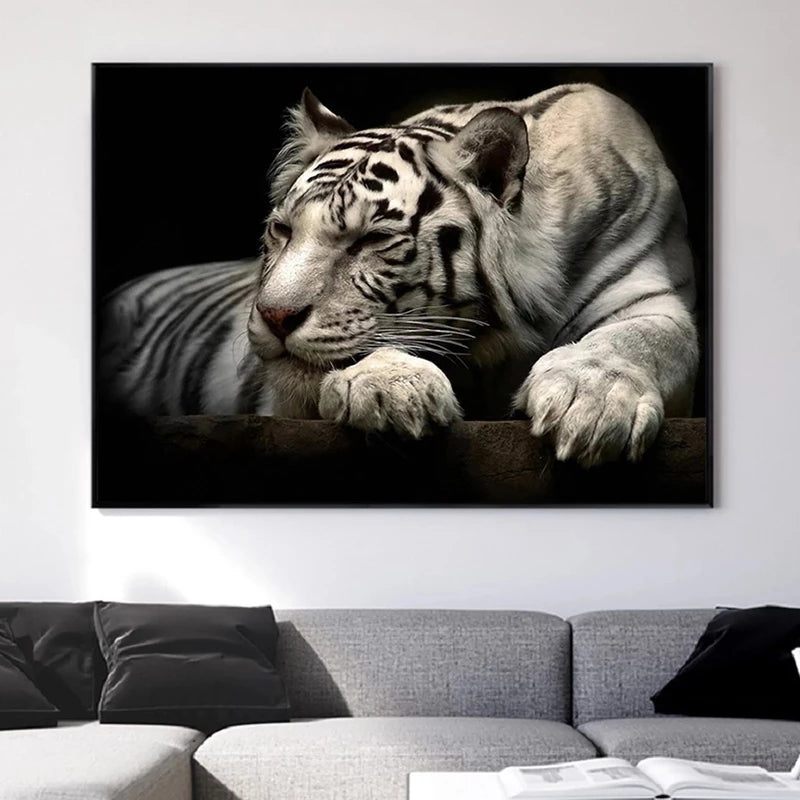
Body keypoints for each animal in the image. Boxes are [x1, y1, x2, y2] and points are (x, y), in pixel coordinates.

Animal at [101, 83, 698, 467]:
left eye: (370, 240)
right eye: (282, 230)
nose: (273, 316)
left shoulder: (650, 294)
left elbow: (640, 339)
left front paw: (590, 403)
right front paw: (390, 389)